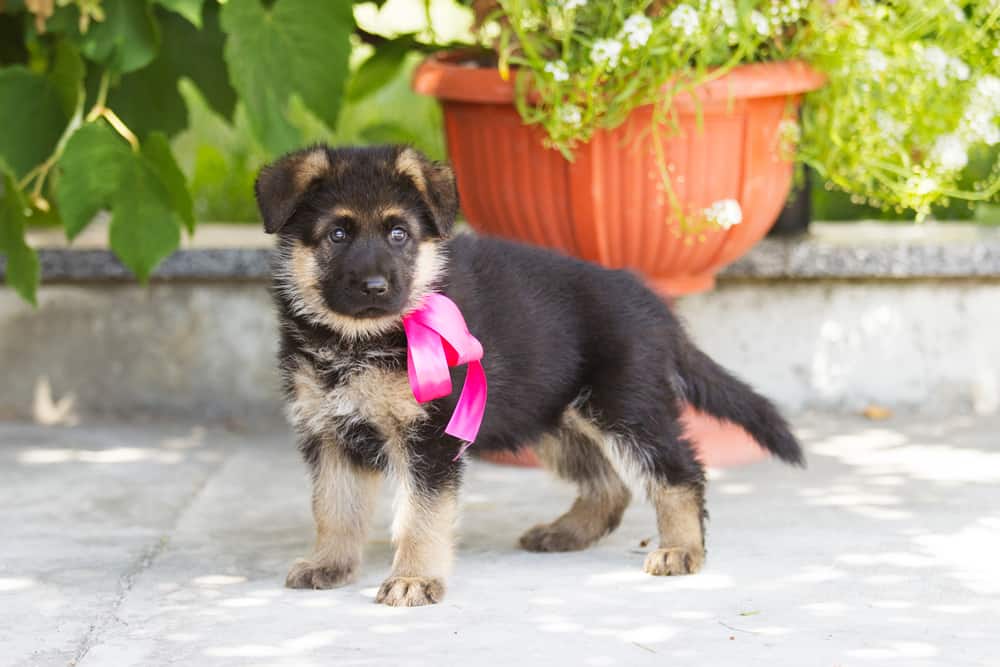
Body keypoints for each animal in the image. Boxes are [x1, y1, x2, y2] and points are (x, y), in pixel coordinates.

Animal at [258, 144, 804, 608]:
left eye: (399, 234)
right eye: (338, 234)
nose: (375, 287)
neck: (359, 340)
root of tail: (653, 304)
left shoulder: (430, 438)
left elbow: (421, 516)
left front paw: (413, 578)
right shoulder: (331, 433)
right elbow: (334, 507)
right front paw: (330, 564)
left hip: (625, 408)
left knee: (679, 471)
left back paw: (682, 550)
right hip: (554, 418)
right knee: (611, 486)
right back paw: (567, 533)